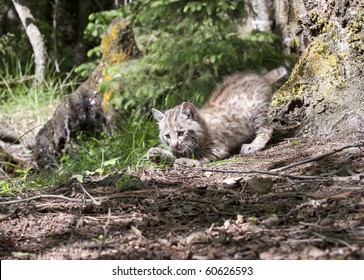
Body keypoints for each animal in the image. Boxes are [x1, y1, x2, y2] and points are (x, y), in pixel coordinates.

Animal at [148, 66, 288, 165]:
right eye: (167, 136)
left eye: (181, 133)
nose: (174, 145)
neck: (202, 127)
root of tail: (260, 77)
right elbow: (178, 153)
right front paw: (158, 153)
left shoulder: (217, 148)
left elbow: (198, 155)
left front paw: (185, 161)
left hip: (255, 111)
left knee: (267, 129)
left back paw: (253, 145)